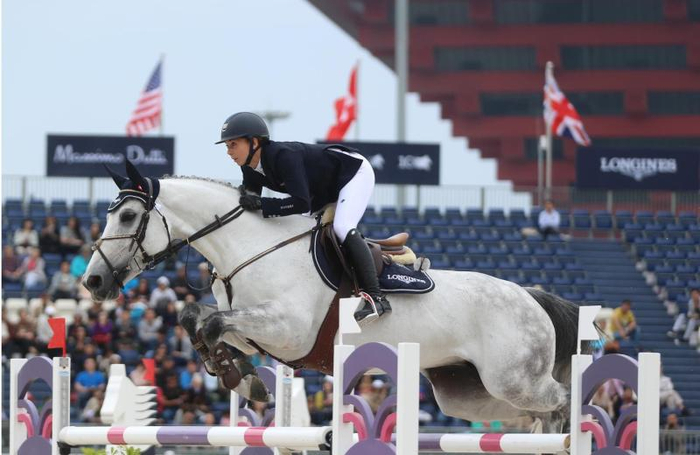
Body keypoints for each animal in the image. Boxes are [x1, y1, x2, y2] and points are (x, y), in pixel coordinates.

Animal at [83, 162, 589, 432]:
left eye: (127, 216)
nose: (93, 282)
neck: (249, 248)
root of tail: (533, 298)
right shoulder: (255, 329)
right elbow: (198, 319)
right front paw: (240, 375)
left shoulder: (288, 332)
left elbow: (210, 322)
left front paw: (242, 379)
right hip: (466, 393)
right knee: (531, 416)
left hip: (514, 378)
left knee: (565, 400)